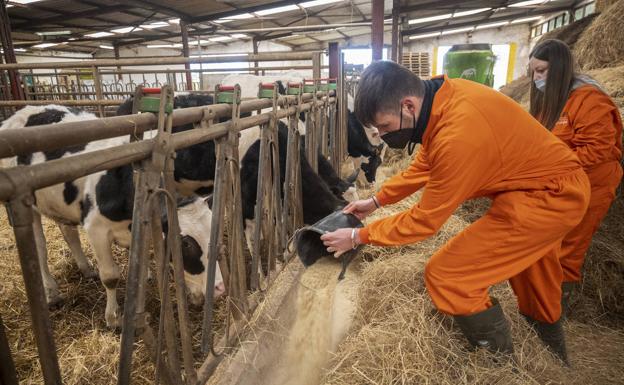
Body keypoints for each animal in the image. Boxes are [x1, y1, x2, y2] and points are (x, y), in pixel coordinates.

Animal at [0, 106, 224, 328]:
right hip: (28, 206)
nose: (220, 288)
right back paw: (51, 292)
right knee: (40, 249)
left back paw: (86, 268)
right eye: (185, 243)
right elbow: (110, 276)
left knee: (69, 233)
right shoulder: (96, 229)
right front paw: (114, 317)